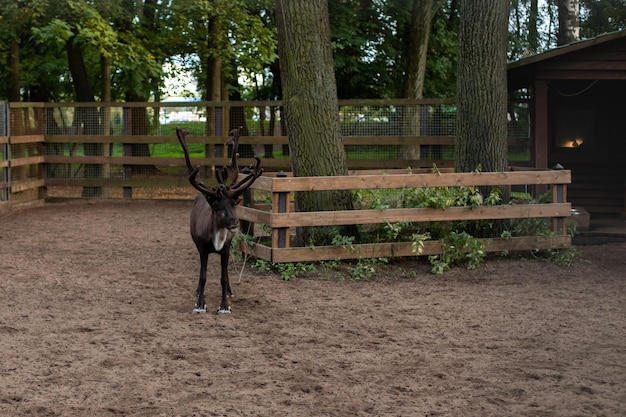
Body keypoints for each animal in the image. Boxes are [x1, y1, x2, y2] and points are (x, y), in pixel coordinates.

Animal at [176, 126, 260, 312]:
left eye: (234, 203)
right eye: (217, 207)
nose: (234, 222)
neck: (216, 238)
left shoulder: (226, 248)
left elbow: (223, 277)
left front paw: (224, 305)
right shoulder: (202, 248)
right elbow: (203, 276)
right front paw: (200, 303)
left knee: (226, 273)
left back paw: (230, 291)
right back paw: (197, 292)